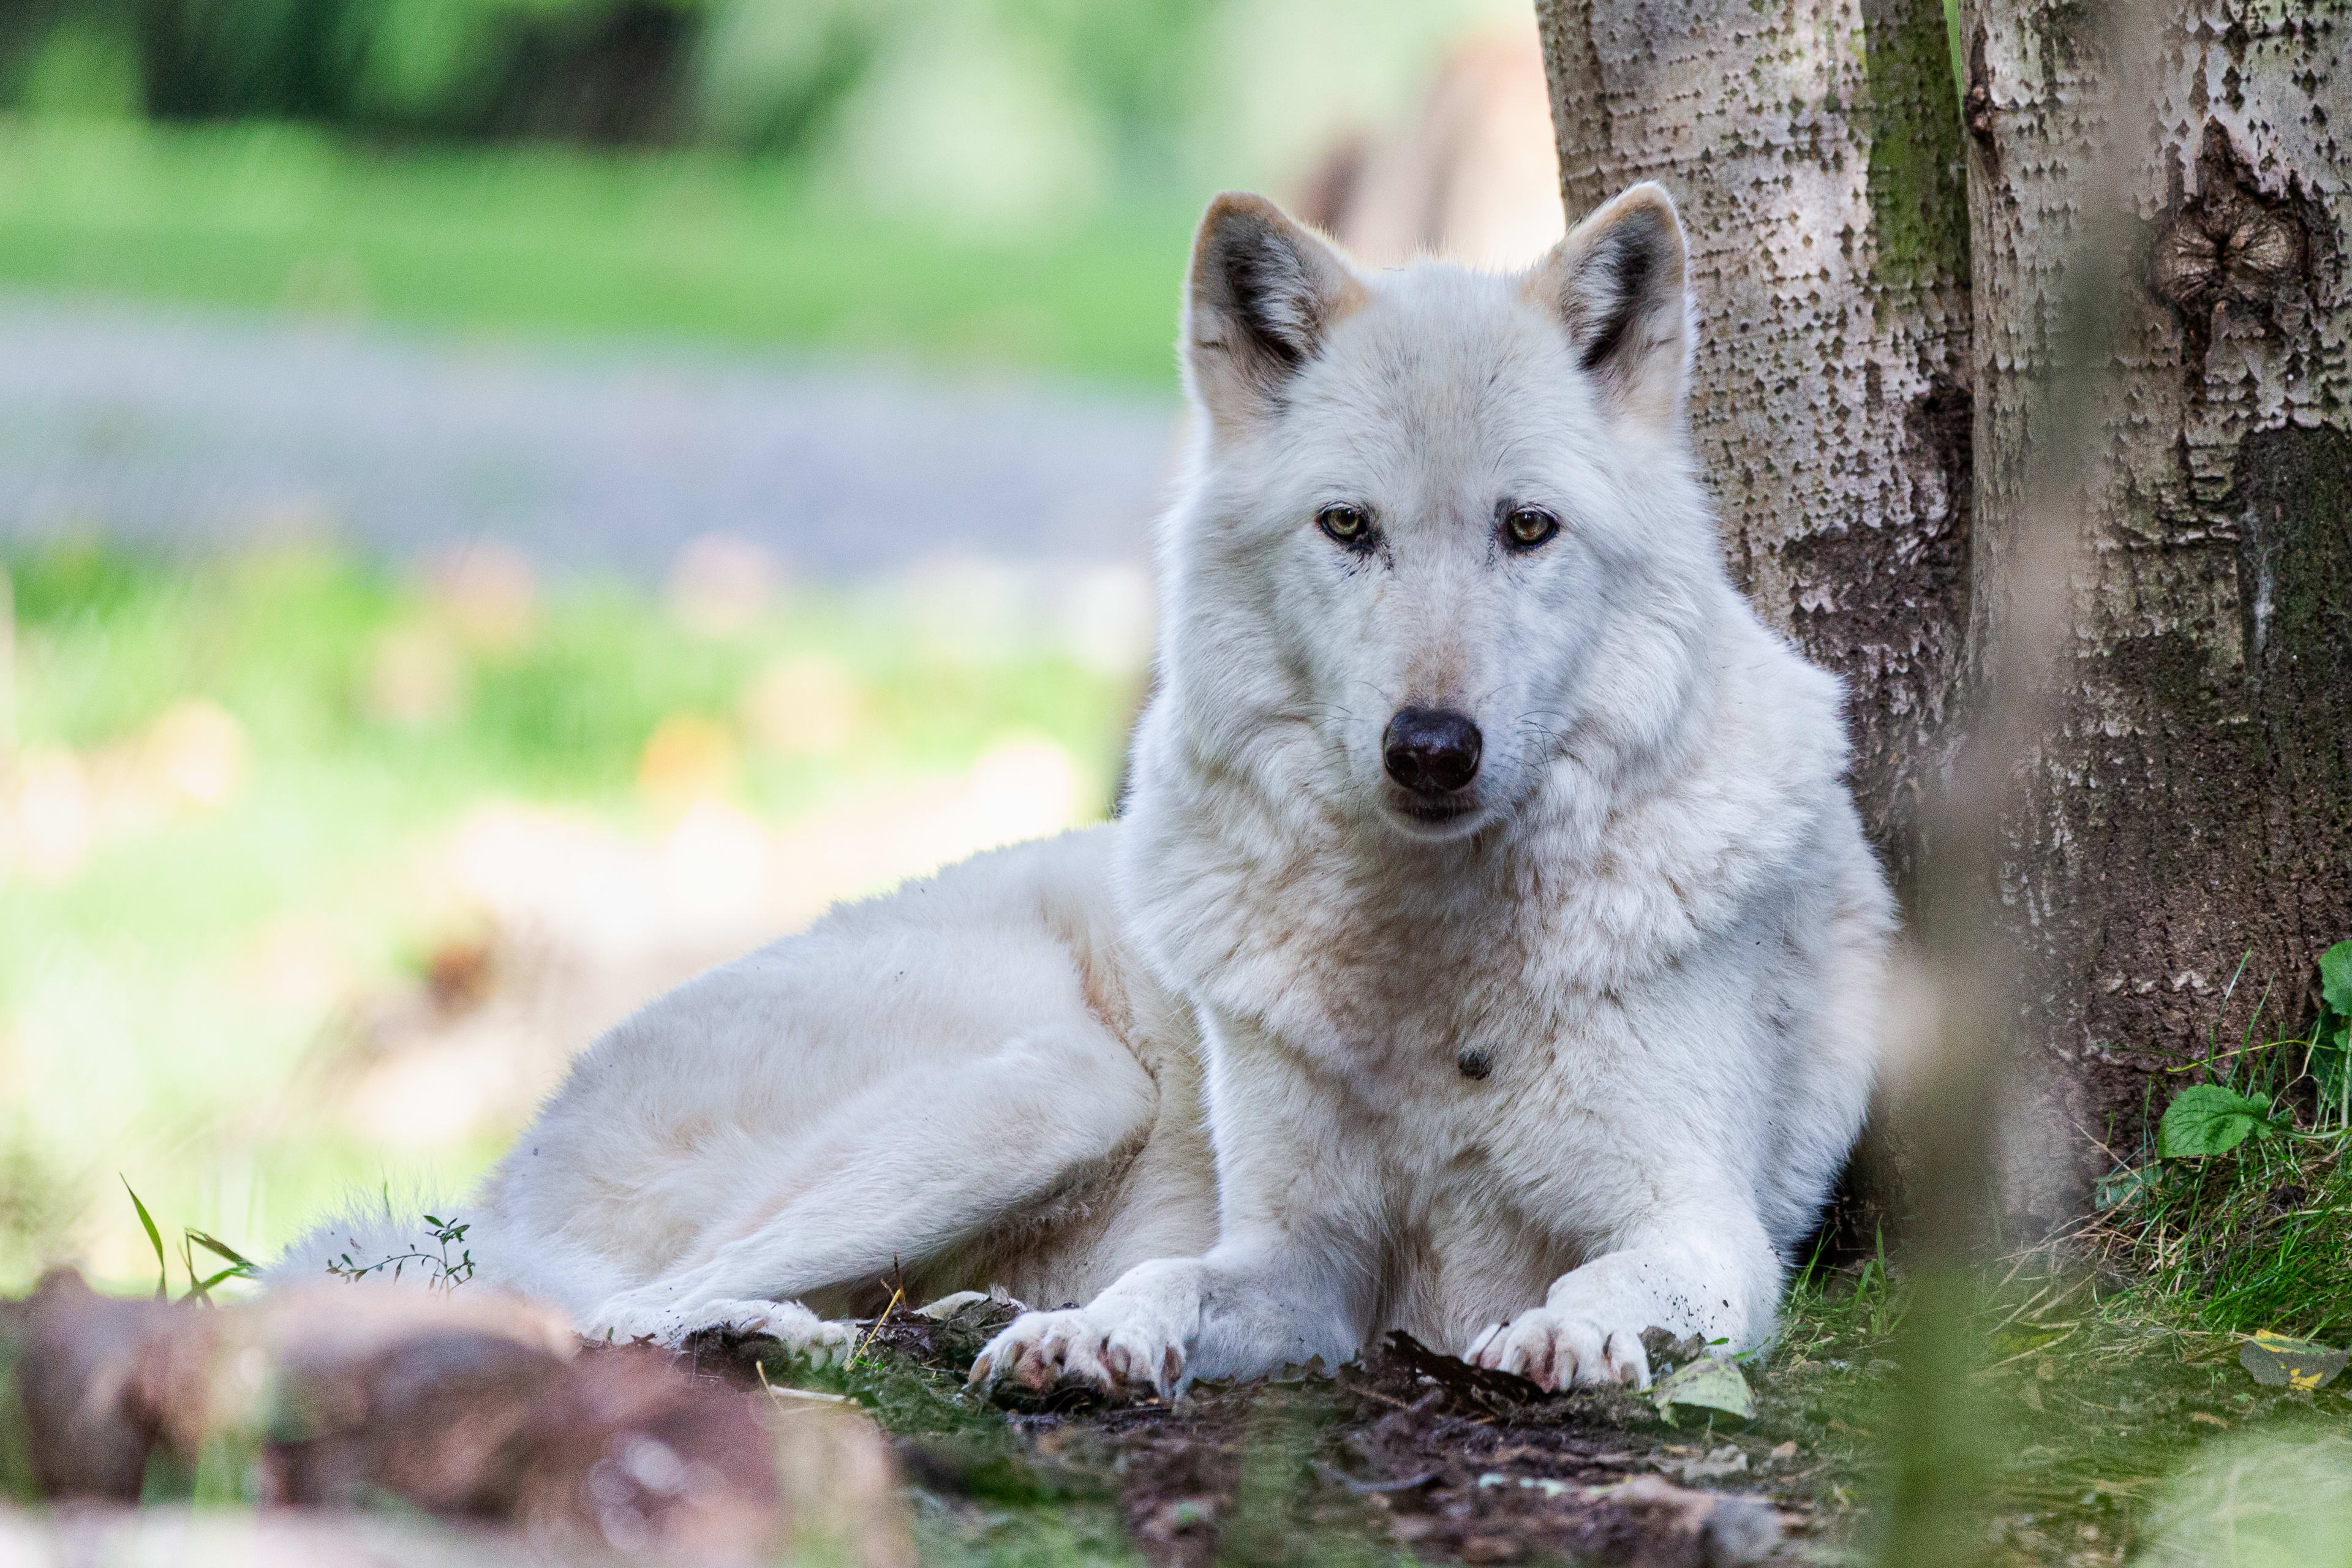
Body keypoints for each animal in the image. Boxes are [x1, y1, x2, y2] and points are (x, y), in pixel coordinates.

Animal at [278, 183, 1892, 1396]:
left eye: (1527, 528)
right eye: (1348, 527)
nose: (1430, 746)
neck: (1437, 961)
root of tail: (497, 1174)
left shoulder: (1703, 1224)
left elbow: (1622, 1272)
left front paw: (1571, 1330)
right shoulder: (1303, 1253)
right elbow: (1181, 1274)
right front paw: (1096, 1336)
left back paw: (936, 1321)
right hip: (1059, 1083)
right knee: (622, 1307)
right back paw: (806, 1338)